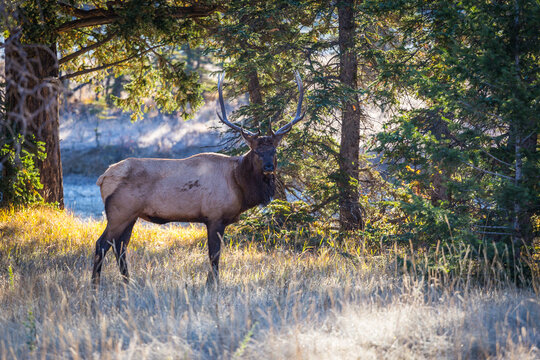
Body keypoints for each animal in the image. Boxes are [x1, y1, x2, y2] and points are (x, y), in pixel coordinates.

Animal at [92, 72, 304, 286]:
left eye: (274, 151)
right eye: (256, 151)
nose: (269, 167)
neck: (239, 185)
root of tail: (103, 178)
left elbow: (214, 255)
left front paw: (210, 281)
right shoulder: (215, 216)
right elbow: (214, 255)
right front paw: (214, 283)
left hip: (132, 215)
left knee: (120, 246)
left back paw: (128, 282)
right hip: (119, 212)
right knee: (101, 244)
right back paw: (95, 284)